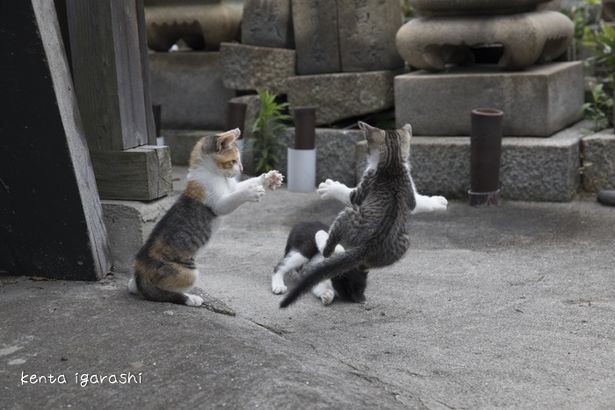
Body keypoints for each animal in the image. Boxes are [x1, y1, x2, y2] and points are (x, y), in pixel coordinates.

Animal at [129, 130, 284, 306]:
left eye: (239, 160)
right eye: (233, 161)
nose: (242, 168)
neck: (214, 174)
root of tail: (140, 271)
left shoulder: (231, 187)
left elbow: (240, 186)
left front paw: (268, 178)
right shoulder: (218, 203)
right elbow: (233, 198)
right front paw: (251, 192)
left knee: (133, 287)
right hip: (188, 273)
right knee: (164, 291)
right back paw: (191, 298)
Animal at [282, 121, 416, 308]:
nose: (366, 156)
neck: (392, 163)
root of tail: (368, 246)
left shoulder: (363, 187)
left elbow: (348, 194)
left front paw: (331, 187)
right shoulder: (409, 195)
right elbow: (414, 202)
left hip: (347, 215)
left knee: (329, 250)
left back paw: (322, 238)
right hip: (403, 243)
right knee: (359, 265)